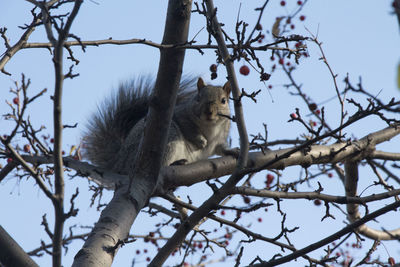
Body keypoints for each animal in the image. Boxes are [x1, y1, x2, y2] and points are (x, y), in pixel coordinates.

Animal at [84, 76, 234, 176]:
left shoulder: (219, 138)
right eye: (198, 98)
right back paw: (175, 163)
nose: (209, 112)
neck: (210, 127)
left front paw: (233, 151)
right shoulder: (179, 115)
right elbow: (188, 128)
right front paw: (200, 140)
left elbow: (220, 148)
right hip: (168, 137)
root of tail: (118, 162)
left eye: (224, 101)